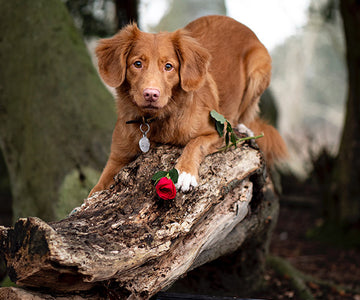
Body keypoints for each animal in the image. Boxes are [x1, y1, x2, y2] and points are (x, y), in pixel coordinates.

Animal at [90, 15, 286, 196]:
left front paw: (184, 173)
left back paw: (244, 128)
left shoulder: (218, 131)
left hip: (258, 69)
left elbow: (195, 143)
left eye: (168, 66)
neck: (157, 121)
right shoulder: (117, 159)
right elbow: (95, 191)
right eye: (137, 64)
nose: (151, 94)